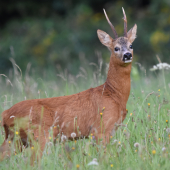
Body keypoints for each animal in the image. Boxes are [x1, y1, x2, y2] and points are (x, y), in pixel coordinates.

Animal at [0, 7, 137, 162]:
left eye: (131, 45)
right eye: (116, 48)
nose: (127, 55)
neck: (113, 94)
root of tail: (5, 114)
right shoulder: (100, 128)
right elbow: (103, 157)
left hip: (15, 139)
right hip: (39, 135)